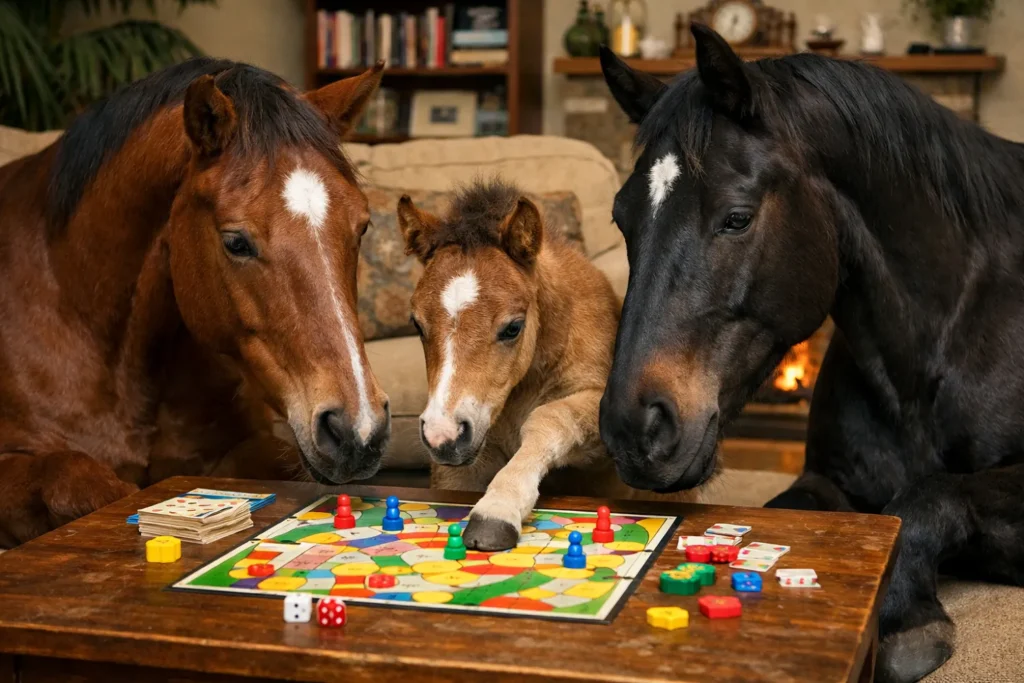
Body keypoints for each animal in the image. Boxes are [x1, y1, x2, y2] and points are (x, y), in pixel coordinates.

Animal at [395, 179, 665, 550]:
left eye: (513, 327)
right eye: (417, 325)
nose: (443, 436)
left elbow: (550, 418)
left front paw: (496, 511)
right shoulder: (464, 459)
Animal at [597, 23, 1024, 682]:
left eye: (737, 217)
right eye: (623, 219)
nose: (632, 429)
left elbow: (931, 497)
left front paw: (907, 622)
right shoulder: (825, 479)